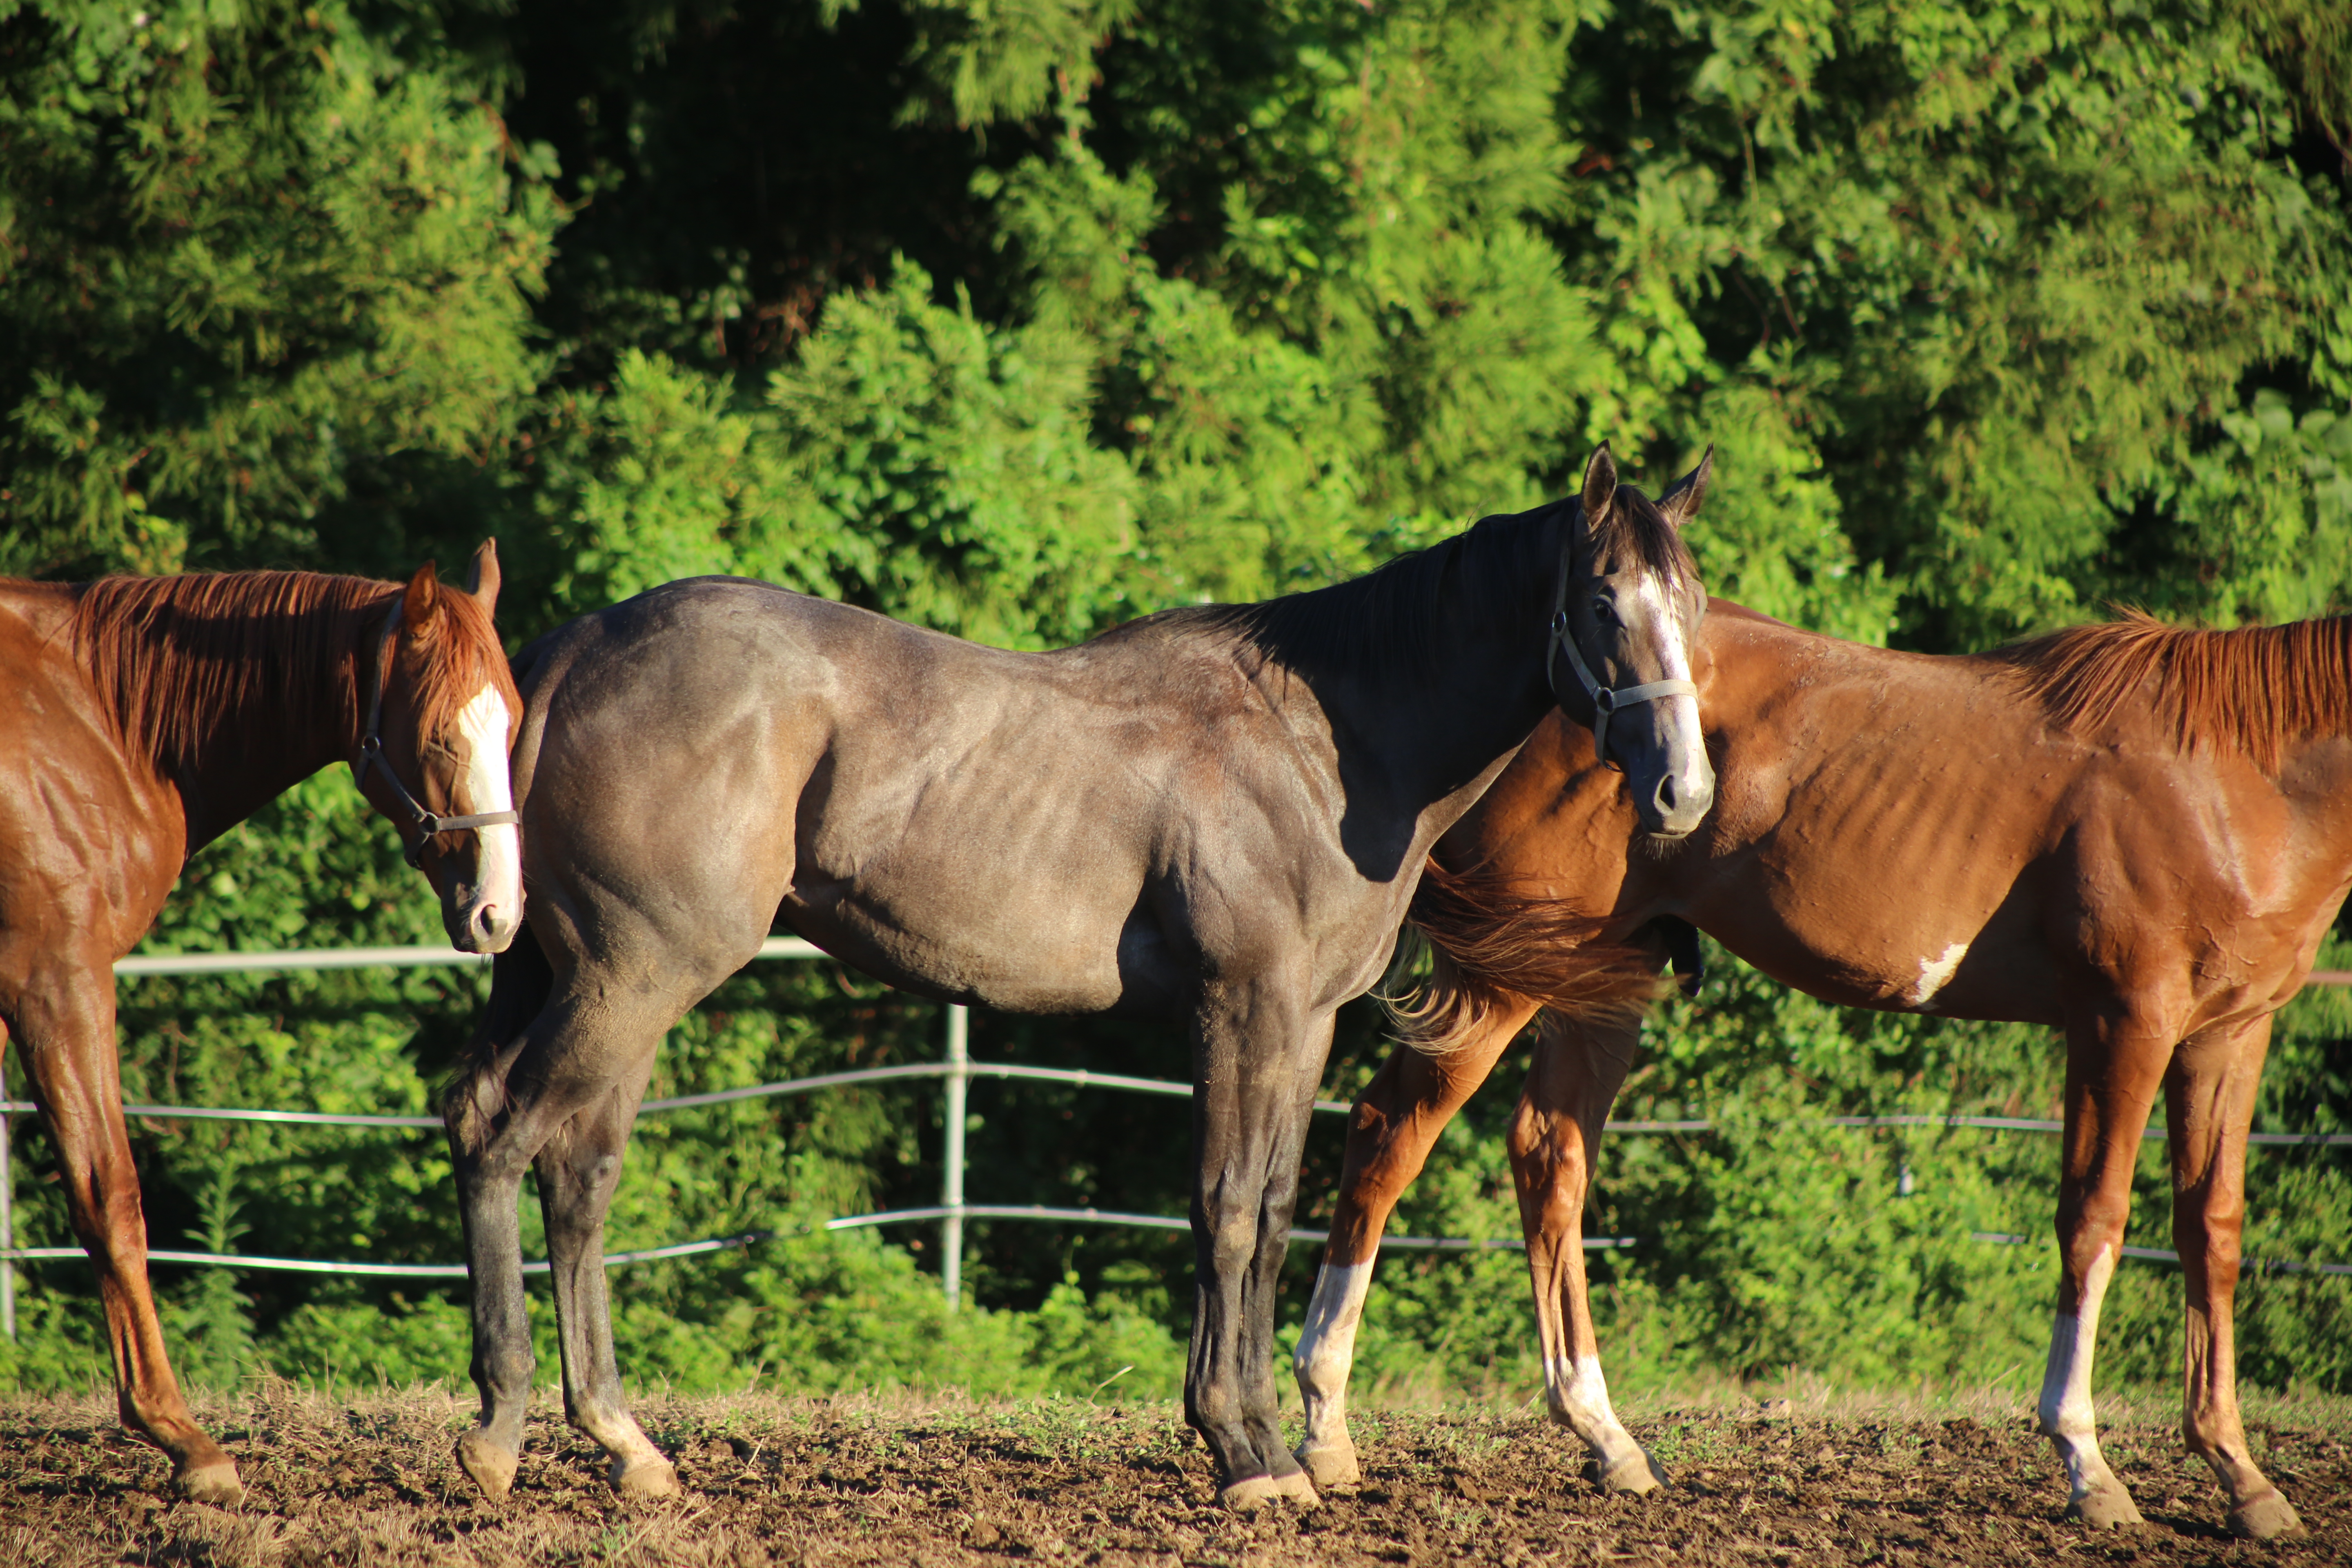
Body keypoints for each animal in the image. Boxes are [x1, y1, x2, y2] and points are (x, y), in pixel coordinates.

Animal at [0, 543, 524, 1504]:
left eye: (509, 731)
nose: (499, 914)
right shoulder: (57, 979)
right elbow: (110, 1195)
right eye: (438, 736)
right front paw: (182, 1439)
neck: (101, 721)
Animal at [442, 444, 1722, 1504]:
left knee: (560, 1165)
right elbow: (1221, 1212)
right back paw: (500, 1436)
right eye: (1602, 602)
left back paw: (624, 1445)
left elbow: (1271, 1214)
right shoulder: (1240, 1012)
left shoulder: (1301, 1025)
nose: (1683, 792)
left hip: (579, 978)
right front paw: (1243, 1453)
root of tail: (575, 650)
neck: (1327, 744)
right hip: (636, 975)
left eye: (1694, 608)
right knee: (509, 1139)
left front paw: (1267, 1445)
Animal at [1298, 601, 2342, 1542]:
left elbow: (2210, 1232)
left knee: (1548, 1158)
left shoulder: (2228, 1034)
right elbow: (2095, 1221)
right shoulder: (2122, 1022)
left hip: (1597, 975)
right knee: (1388, 1134)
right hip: (1503, 973)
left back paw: (1605, 1438)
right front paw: (2086, 1464)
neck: (2229, 778)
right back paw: (1321, 1428)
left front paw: (2240, 1476)